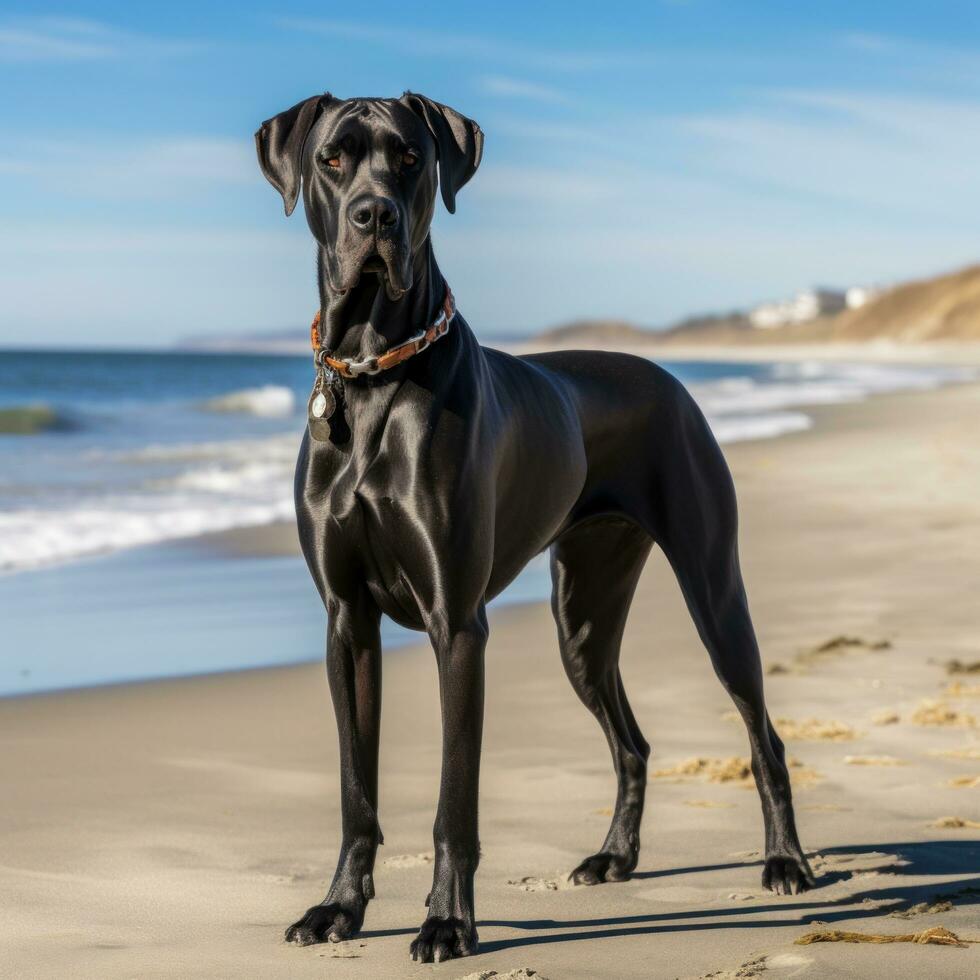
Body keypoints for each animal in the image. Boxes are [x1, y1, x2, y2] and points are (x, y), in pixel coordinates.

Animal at [255, 92, 812, 964]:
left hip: (715, 592)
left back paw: (786, 862)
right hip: (581, 615)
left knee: (764, 734)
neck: (374, 373)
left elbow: (455, 801)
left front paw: (448, 921)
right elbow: (355, 791)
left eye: (410, 158)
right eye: (332, 159)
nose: (374, 215)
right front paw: (338, 908)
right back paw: (615, 857)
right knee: (631, 741)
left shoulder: (457, 625)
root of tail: (670, 380)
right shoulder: (346, 624)